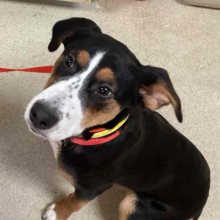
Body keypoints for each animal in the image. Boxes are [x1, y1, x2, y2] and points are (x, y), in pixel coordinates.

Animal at [24, 17, 210, 220]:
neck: (95, 134)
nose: (39, 115)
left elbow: (74, 202)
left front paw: (57, 212)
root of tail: (199, 207)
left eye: (105, 90)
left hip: (133, 204)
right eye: (69, 60)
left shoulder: (92, 188)